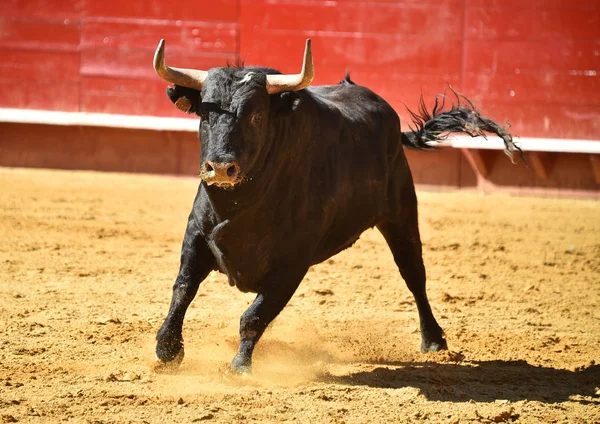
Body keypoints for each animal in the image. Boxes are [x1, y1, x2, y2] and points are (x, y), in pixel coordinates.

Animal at [152, 39, 524, 372]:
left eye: (257, 115)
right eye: (204, 113)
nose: (219, 168)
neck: (240, 204)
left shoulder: (292, 263)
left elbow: (254, 315)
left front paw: (241, 366)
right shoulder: (197, 236)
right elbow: (182, 289)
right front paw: (167, 350)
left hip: (402, 215)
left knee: (414, 275)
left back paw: (433, 341)